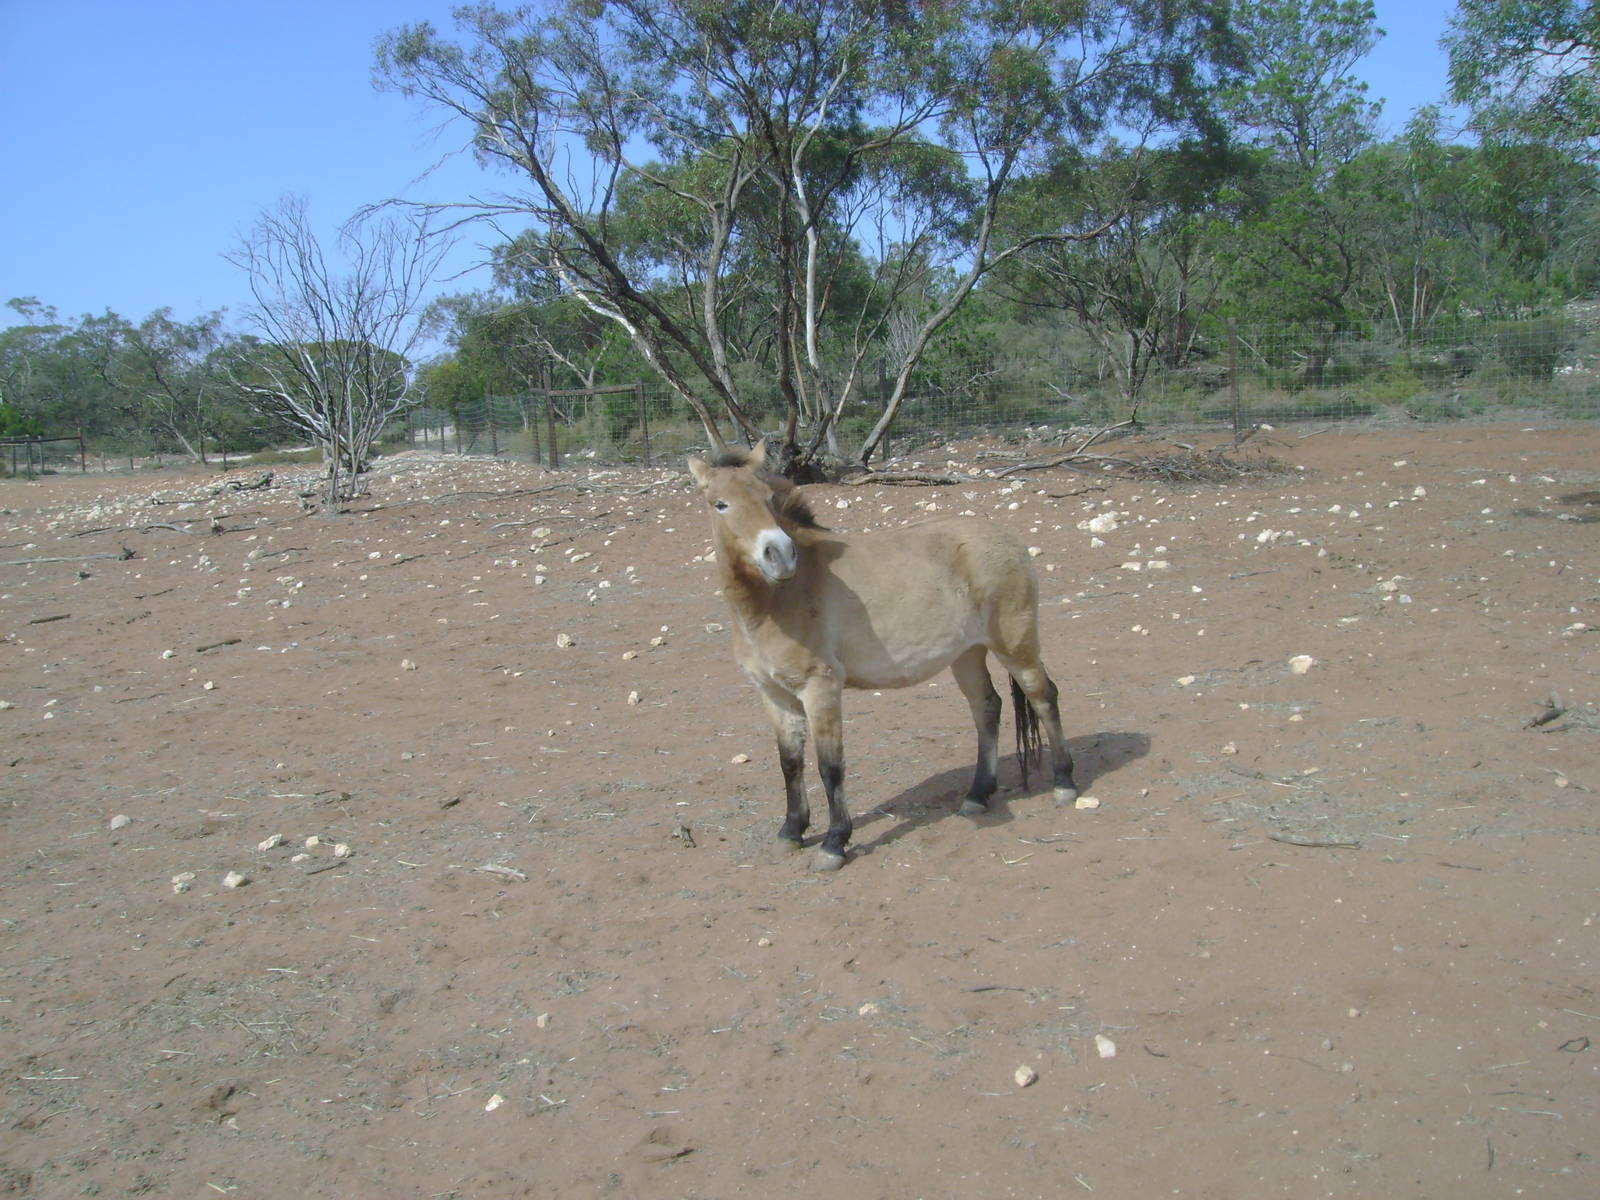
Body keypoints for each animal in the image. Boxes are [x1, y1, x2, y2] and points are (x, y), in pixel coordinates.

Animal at [686, 441, 1079, 872]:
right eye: (720, 503)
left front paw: (834, 844)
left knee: (1044, 697)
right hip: (967, 653)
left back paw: (1064, 784)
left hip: (1015, 644)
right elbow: (790, 762)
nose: (780, 555)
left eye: (768, 499)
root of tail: (1006, 537)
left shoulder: (820, 688)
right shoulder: (774, 694)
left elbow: (830, 766)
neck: (777, 599)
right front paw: (791, 832)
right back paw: (977, 795)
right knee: (987, 707)